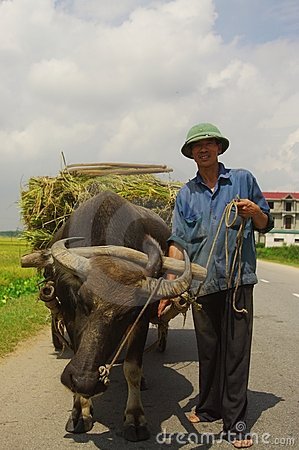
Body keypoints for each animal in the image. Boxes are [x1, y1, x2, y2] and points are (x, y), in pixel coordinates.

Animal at [21, 192, 195, 442]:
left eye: (129, 312)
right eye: (82, 300)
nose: (85, 379)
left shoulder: (140, 322)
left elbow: (132, 368)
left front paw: (135, 418)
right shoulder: (70, 318)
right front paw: (80, 411)